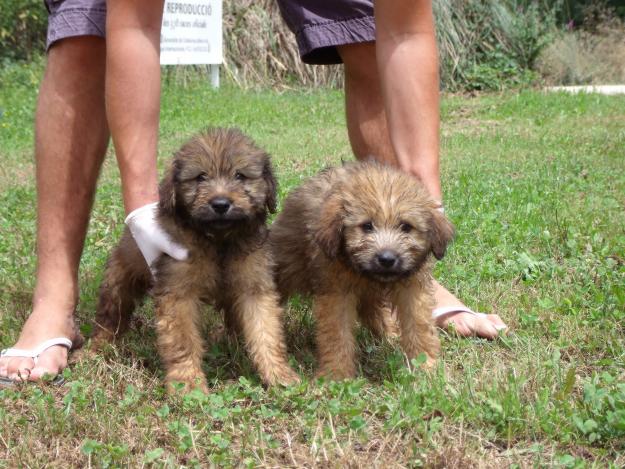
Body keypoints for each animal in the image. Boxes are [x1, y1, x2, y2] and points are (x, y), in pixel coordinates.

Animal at [91, 128, 298, 392]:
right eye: (200, 177)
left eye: (240, 175)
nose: (220, 204)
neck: (218, 241)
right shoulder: (179, 293)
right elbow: (183, 341)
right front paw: (187, 384)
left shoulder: (255, 286)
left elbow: (266, 331)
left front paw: (279, 374)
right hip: (118, 281)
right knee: (110, 317)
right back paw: (95, 348)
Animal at [268, 160, 454, 376]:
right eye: (367, 226)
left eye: (406, 227)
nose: (387, 259)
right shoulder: (336, 292)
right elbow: (337, 333)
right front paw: (336, 373)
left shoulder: (413, 288)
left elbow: (418, 324)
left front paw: (425, 365)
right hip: (287, 265)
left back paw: (389, 334)